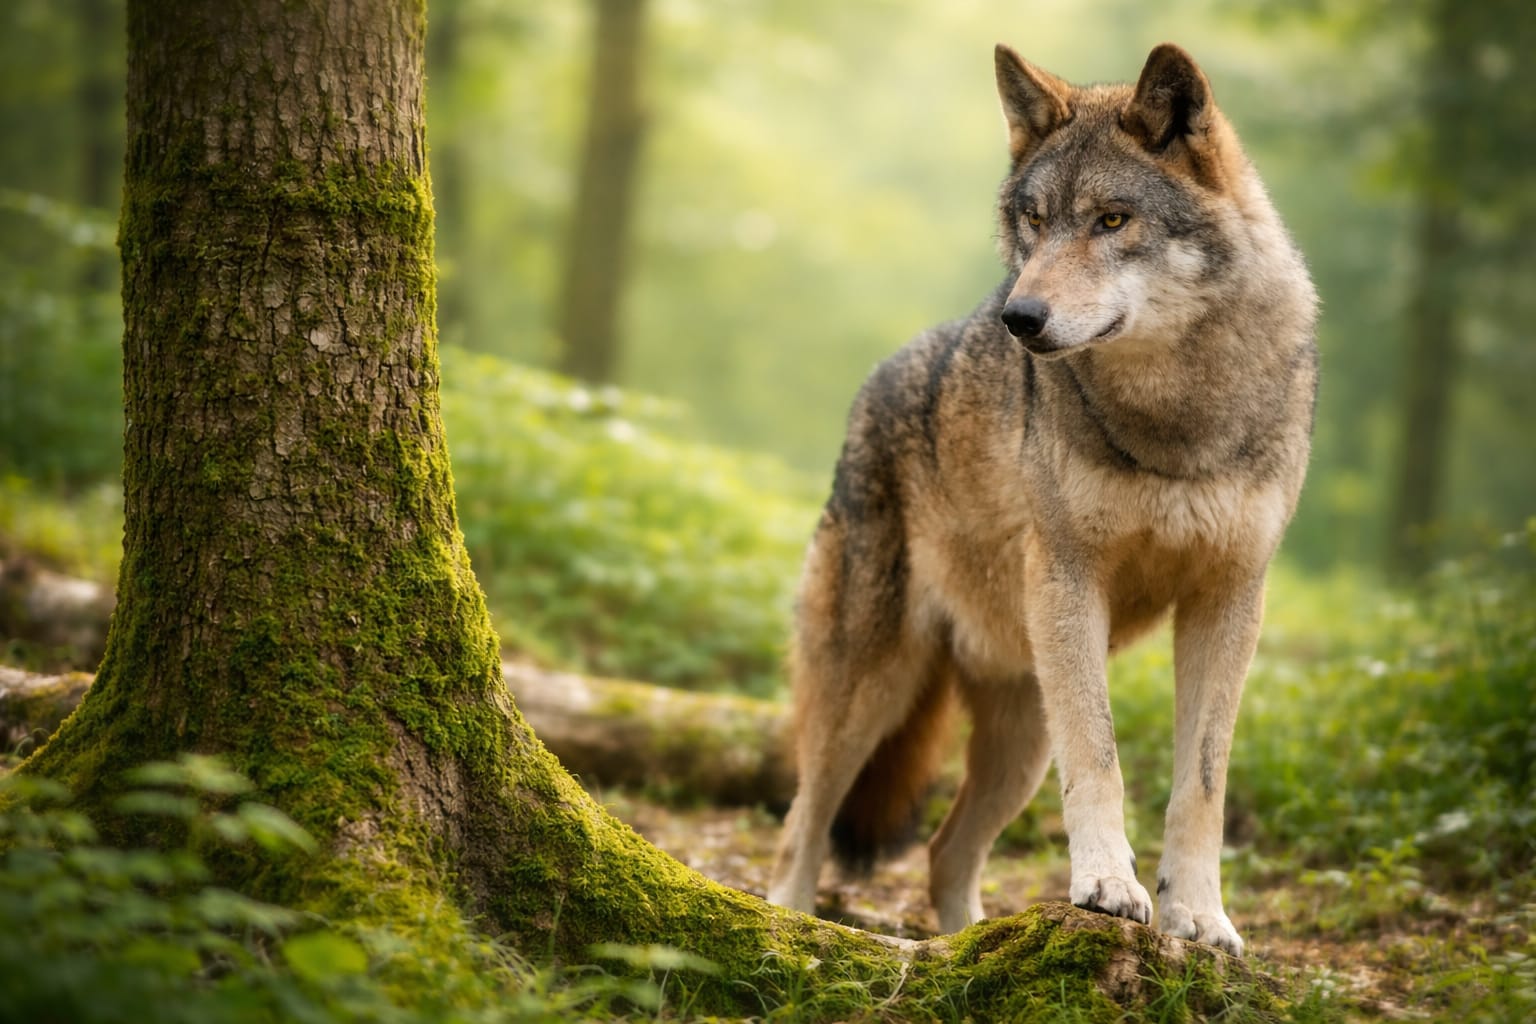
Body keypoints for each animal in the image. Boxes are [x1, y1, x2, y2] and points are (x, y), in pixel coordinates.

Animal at [765, 43, 1317, 957]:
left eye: (1112, 221)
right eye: (1034, 219)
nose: (1019, 316)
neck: (1177, 417)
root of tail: (876, 382)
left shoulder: (1231, 598)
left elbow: (1201, 783)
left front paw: (1199, 916)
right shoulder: (1069, 577)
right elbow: (1100, 757)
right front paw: (1107, 887)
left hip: (1019, 737)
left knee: (945, 855)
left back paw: (964, 950)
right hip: (871, 690)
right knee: (800, 827)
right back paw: (790, 927)